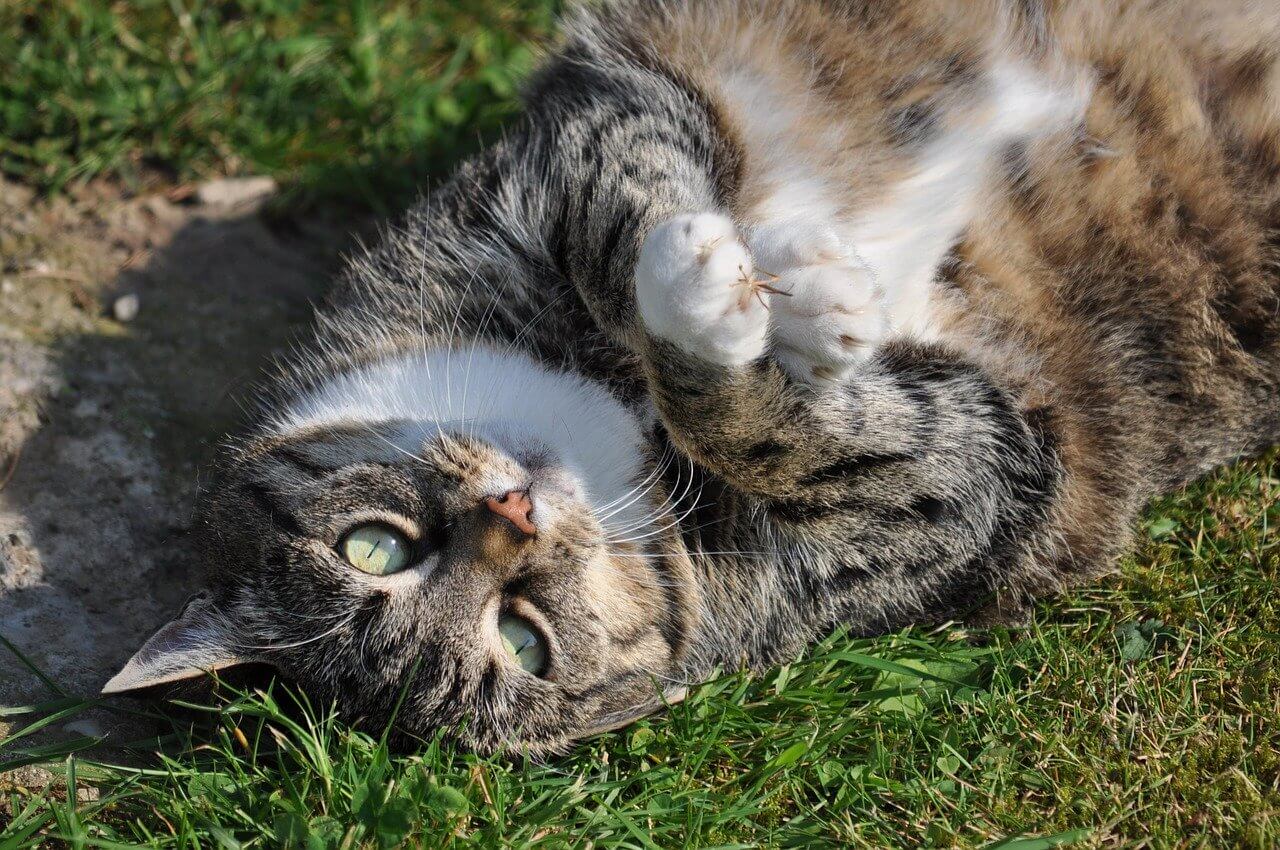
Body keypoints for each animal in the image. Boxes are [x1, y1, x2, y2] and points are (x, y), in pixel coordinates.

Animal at [102, 0, 1280, 757]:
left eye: (372, 547)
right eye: (524, 642)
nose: (515, 515)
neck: (606, 424)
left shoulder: (587, 123)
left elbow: (621, 213)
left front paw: (768, 279)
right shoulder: (974, 477)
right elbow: (801, 432)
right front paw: (754, 315)